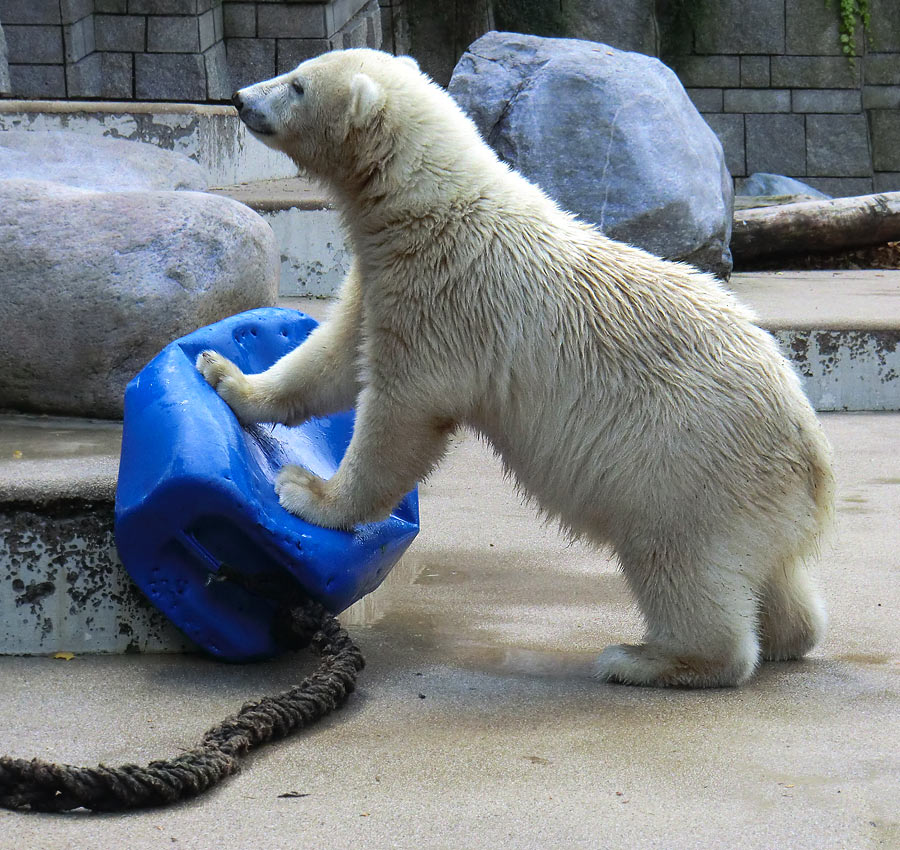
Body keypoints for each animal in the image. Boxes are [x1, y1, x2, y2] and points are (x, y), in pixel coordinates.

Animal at [199, 46, 836, 684]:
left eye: (298, 85)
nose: (238, 97)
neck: (430, 207)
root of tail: (812, 453)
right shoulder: (384, 282)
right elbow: (332, 360)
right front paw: (223, 374)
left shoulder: (445, 296)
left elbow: (402, 412)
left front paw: (308, 491)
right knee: (772, 574)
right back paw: (788, 633)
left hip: (686, 460)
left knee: (676, 558)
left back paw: (644, 658)